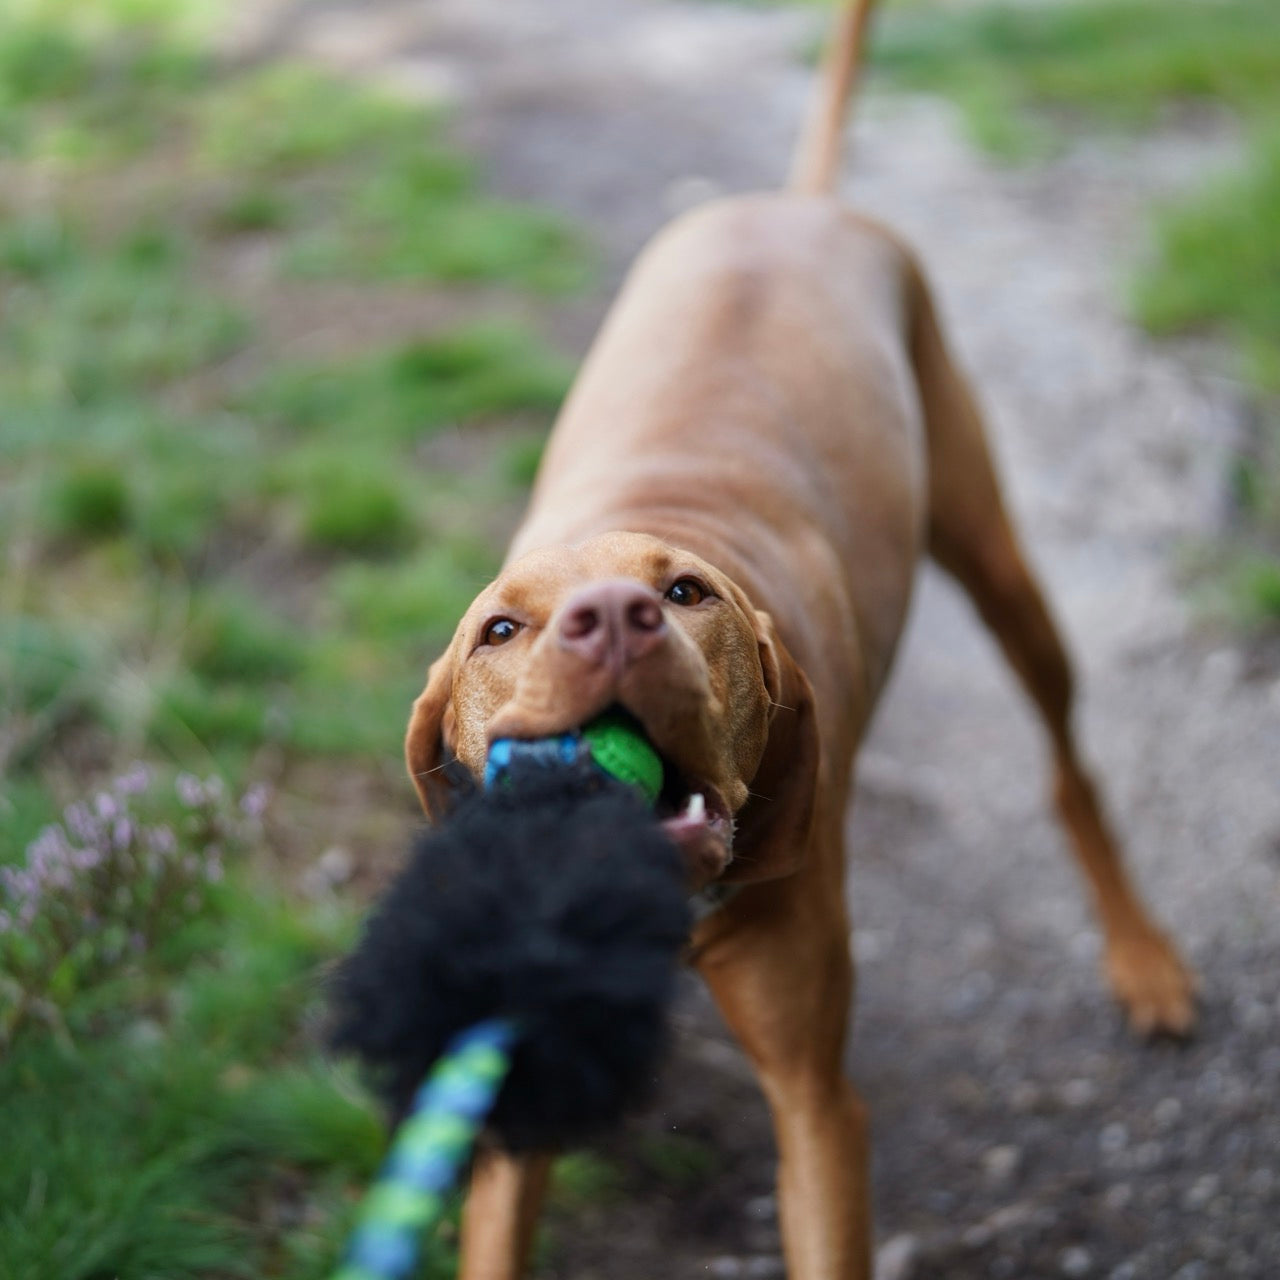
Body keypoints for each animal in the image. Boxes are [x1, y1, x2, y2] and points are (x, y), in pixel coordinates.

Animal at [404, 5, 1192, 1274]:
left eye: (684, 593)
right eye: (500, 629)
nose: (611, 617)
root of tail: (796, 201)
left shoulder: (819, 1104)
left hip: (1001, 569)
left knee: (1070, 769)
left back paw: (1145, 959)